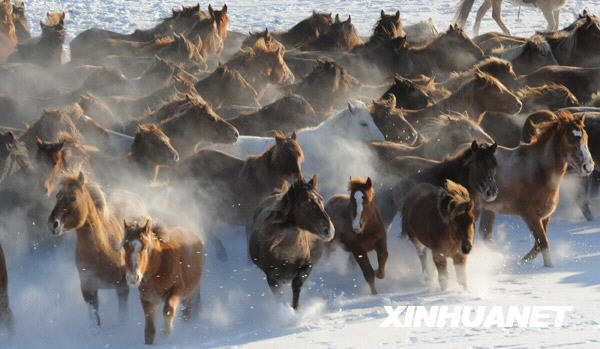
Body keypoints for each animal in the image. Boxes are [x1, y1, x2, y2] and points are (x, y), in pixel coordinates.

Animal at [47, 172, 129, 326]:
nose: (52, 224)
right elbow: (95, 321)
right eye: (57, 196)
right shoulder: (88, 291)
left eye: (73, 198)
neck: (102, 252)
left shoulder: (122, 288)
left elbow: (122, 316)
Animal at [247, 175, 336, 308]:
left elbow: (296, 286)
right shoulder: (272, 279)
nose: (329, 230)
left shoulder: (306, 268)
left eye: (321, 199)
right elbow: (280, 298)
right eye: (306, 203)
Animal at [480, 110, 592, 266]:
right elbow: (544, 243)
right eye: (570, 140)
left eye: (585, 137)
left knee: (486, 235)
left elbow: (538, 245)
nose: (588, 167)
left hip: (489, 209)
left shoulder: (545, 216)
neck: (539, 171)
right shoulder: (530, 216)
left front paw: (524, 261)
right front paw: (548, 268)